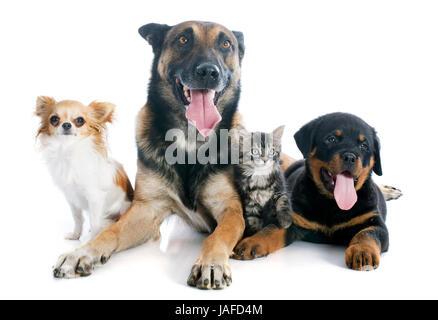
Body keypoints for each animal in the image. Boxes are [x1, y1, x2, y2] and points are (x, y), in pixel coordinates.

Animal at [234, 112, 392, 270]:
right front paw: (252, 242)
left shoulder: (373, 221)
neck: (332, 204)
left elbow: (367, 233)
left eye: (364, 146)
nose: (350, 157)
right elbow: (271, 229)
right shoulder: (292, 219)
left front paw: (363, 252)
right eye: (331, 139)